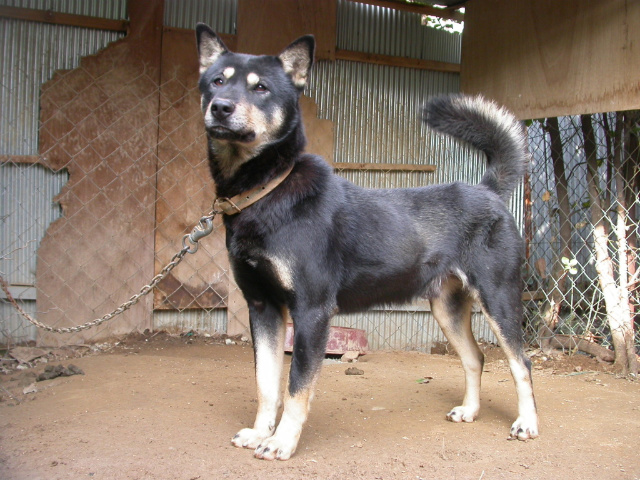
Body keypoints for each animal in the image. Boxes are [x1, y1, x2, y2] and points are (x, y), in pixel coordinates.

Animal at [195, 23, 540, 462]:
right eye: (216, 81)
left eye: (261, 88)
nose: (220, 107)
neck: (267, 191)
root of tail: (488, 190)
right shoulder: (263, 307)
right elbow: (266, 385)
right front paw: (260, 433)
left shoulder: (311, 311)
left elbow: (295, 388)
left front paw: (282, 442)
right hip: (446, 308)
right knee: (475, 358)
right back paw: (470, 411)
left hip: (498, 298)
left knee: (521, 363)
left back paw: (527, 423)